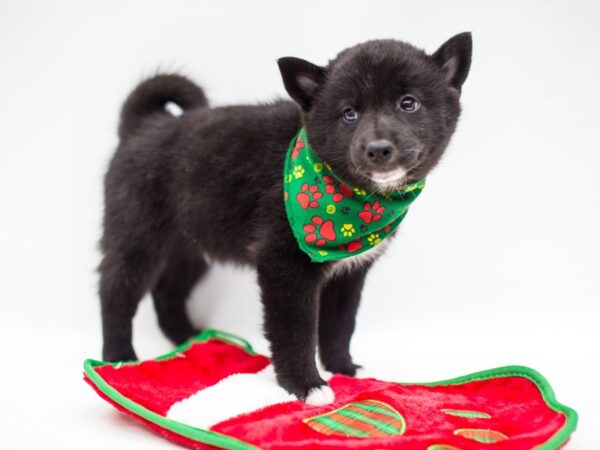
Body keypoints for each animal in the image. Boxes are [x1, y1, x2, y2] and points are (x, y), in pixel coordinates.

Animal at [99, 34, 474, 404]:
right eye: (349, 113)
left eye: (408, 103)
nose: (378, 149)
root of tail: (143, 125)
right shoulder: (284, 264)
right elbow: (295, 331)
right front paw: (305, 385)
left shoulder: (349, 271)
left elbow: (339, 326)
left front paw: (343, 370)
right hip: (138, 238)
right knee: (116, 291)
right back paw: (119, 358)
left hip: (191, 247)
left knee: (167, 293)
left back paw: (191, 340)